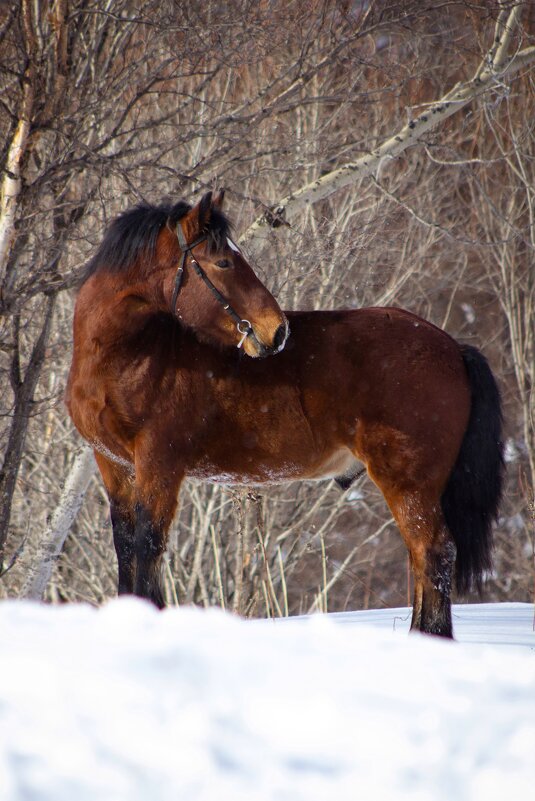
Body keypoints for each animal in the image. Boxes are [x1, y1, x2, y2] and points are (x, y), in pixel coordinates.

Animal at [65, 189, 504, 636]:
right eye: (223, 262)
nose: (276, 331)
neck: (133, 355)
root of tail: (454, 348)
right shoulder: (114, 465)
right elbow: (127, 547)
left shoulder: (159, 464)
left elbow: (148, 546)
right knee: (421, 558)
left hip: (409, 483)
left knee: (433, 553)